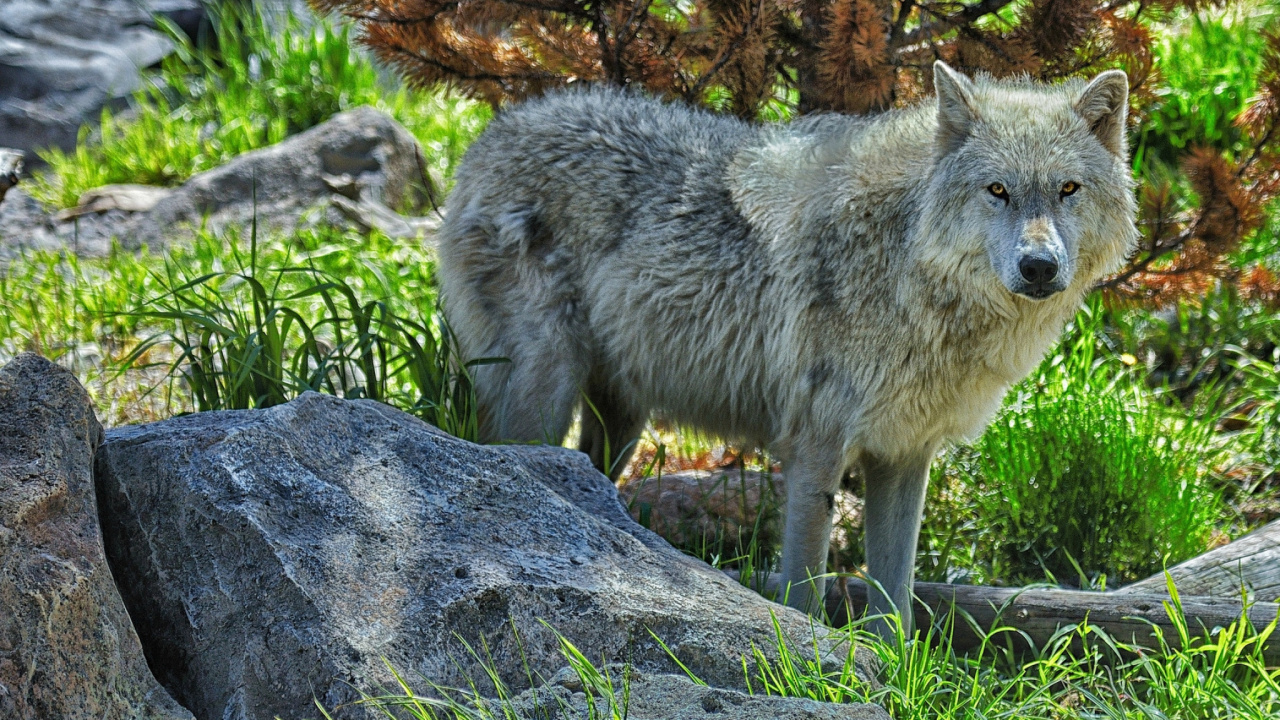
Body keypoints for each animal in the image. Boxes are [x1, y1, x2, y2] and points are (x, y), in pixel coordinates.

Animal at [436, 62, 1138, 627]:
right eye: (998, 190)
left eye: (1067, 189)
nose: (1039, 267)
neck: (907, 265)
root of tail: (490, 136)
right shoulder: (815, 447)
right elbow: (805, 583)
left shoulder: (904, 455)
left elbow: (896, 601)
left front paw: (890, 672)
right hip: (545, 397)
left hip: (620, 425)